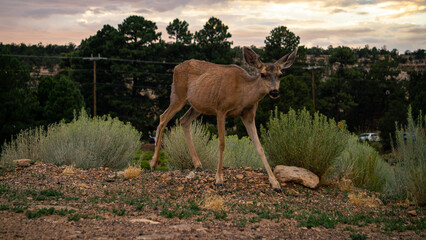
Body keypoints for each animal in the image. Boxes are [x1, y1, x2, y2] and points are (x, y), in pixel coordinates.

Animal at [151, 47, 298, 191]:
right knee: (163, 118)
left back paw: (198, 164)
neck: (242, 94)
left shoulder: (249, 115)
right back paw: (153, 163)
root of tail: (176, 67)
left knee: (183, 120)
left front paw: (275, 183)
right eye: (262, 74)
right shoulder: (221, 108)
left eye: (280, 75)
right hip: (178, 93)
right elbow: (222, 144)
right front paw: (219, 179)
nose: (274, 92)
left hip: (198, 105)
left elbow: (259, 147)